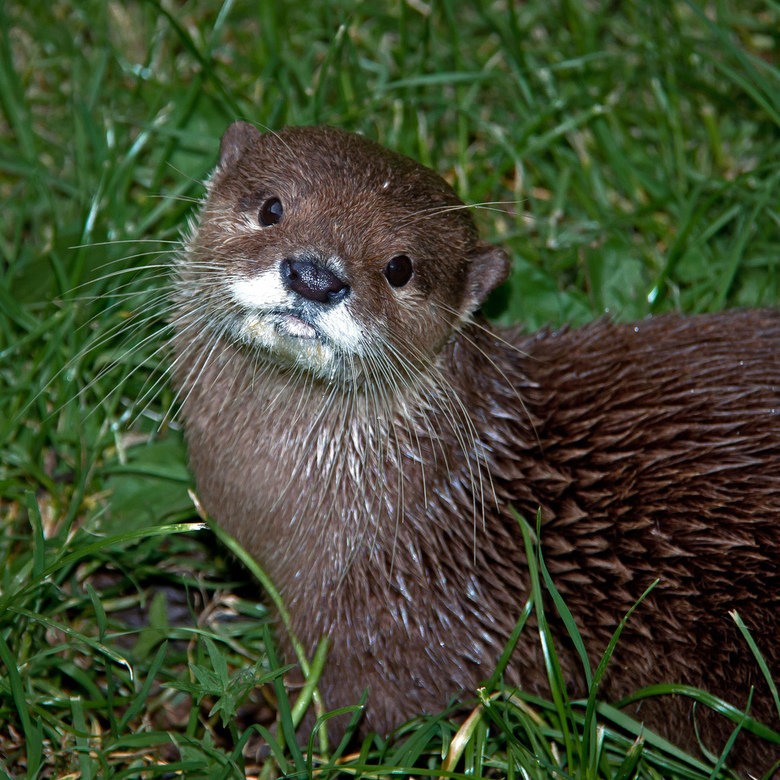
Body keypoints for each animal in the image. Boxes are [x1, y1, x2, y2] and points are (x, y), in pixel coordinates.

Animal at [171, 121, 779, 774]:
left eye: (400, 267)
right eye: (272, 208)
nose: (315, 277)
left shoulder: (393, 629)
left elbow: (352, 707)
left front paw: (269, 741)